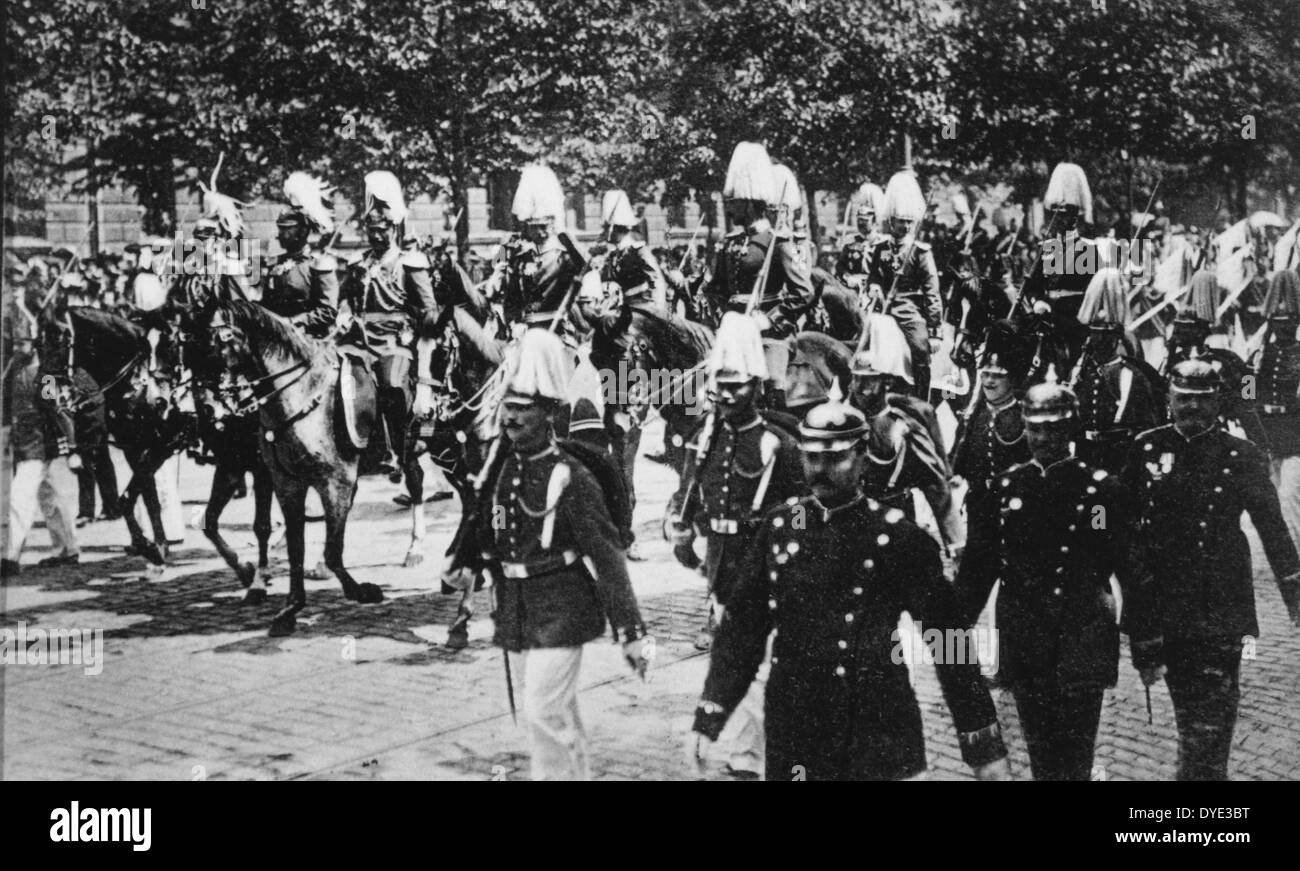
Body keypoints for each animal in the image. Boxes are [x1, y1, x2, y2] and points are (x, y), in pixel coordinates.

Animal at [210, 299, 382, 634]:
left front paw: (360, 591)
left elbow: (332, 550)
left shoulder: (336, 481)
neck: (300, 394)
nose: (217, 403)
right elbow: (294, 547)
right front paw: (290, 608)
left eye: (225, 339)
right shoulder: (286, 482)